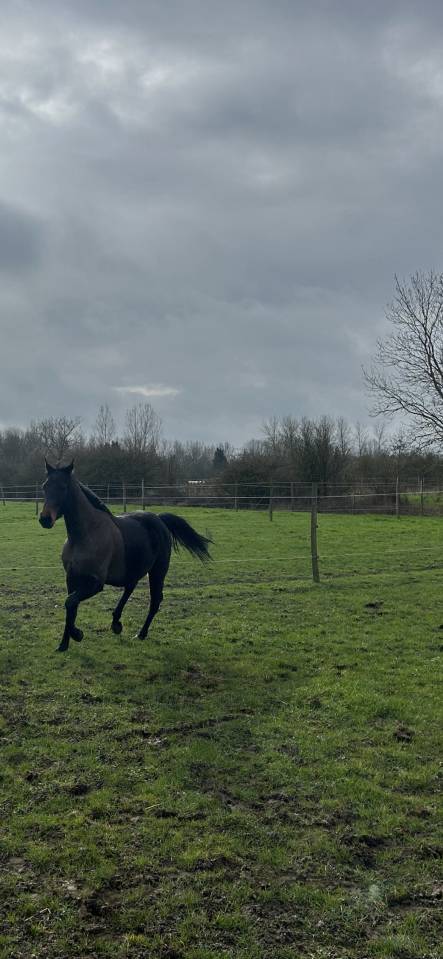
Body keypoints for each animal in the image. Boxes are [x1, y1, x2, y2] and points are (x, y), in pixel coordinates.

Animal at [39, 460, 212, 652]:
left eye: (63, 487)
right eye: (45, 486)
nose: (45, 519)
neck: (85, 535)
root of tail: (159, 519)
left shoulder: (96, 583)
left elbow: (70, 602)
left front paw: (77, 635)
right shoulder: (71, 578)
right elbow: (71, 607)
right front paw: (63, 644)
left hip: (158, 570)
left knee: (155, 600)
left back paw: (140, 634)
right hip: (135, 569)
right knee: (130, 587)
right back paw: (116, 623)